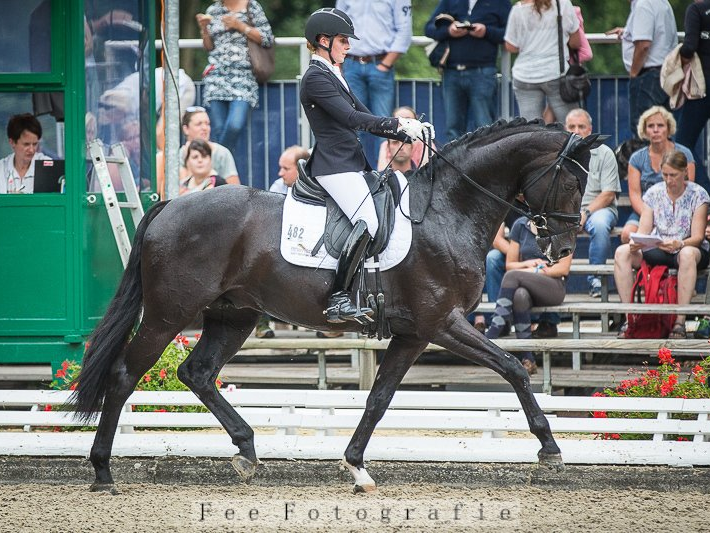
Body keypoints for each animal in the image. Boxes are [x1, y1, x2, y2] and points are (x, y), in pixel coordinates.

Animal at [70, 118, 600, 494]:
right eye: (572, 183)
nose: (563, 248)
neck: (446, 212)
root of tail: (169, 205)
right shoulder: (440, 323)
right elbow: (512, 367)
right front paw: (550, 448)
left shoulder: (414, 332)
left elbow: (379, 397)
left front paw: (356, 466)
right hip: (168, 315)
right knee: (125, 375)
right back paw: (102, 472)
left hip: (234, 315)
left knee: (196, 372)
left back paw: (246, 451)